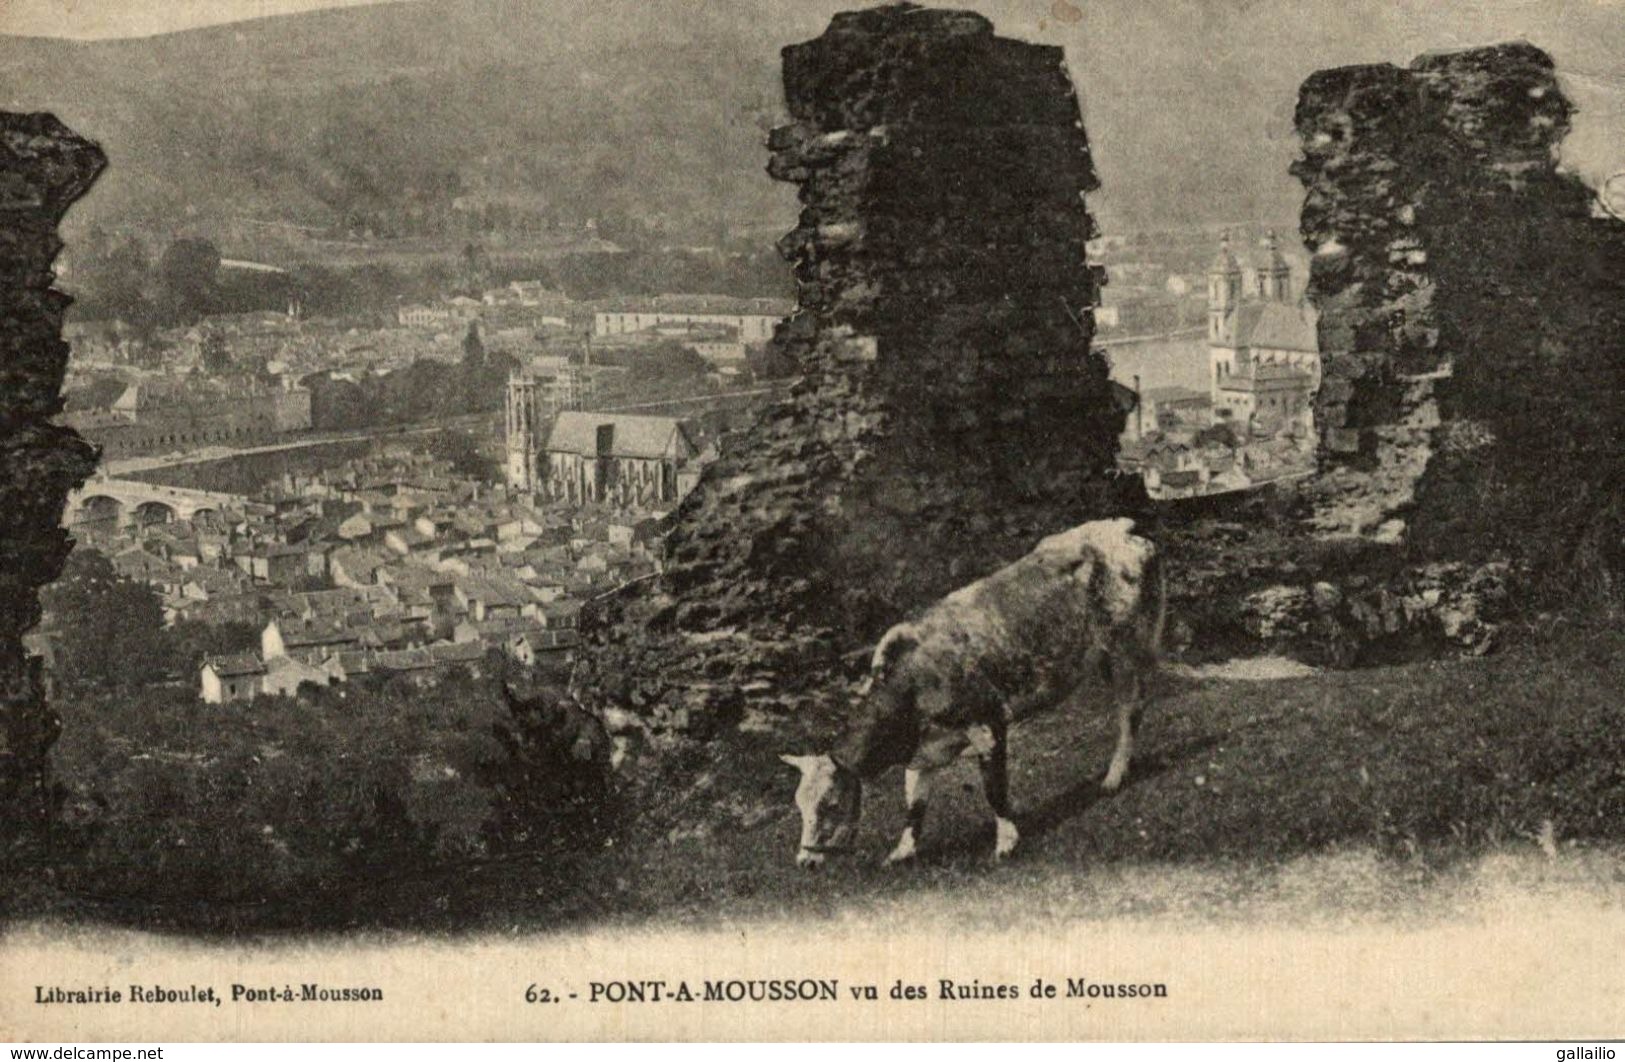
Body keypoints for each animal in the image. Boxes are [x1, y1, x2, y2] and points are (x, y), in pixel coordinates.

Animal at [780, 519, 1163, 870]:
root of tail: (1122, 527)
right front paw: (902, 852)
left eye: (830, 803)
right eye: (799, 804)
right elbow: (914, 806)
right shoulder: (922, 753)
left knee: (1131, 708)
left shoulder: (988, 721)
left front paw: (1006, 842)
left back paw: (1114, 777)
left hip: (1129, 644)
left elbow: (994, 790)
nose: (804, 861)